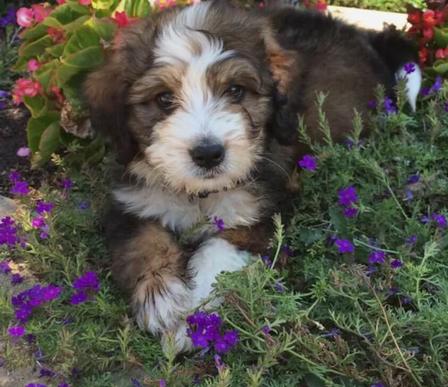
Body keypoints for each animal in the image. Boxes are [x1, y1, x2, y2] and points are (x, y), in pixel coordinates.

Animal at [84, 0, 420, 352]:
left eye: (236, 91)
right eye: (163, 99)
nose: (208, 154)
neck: (200, 194)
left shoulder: (263, 213)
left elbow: (218, 251)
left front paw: (190, 318)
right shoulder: (133, 203)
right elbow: (144, 243)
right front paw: (162, 298)